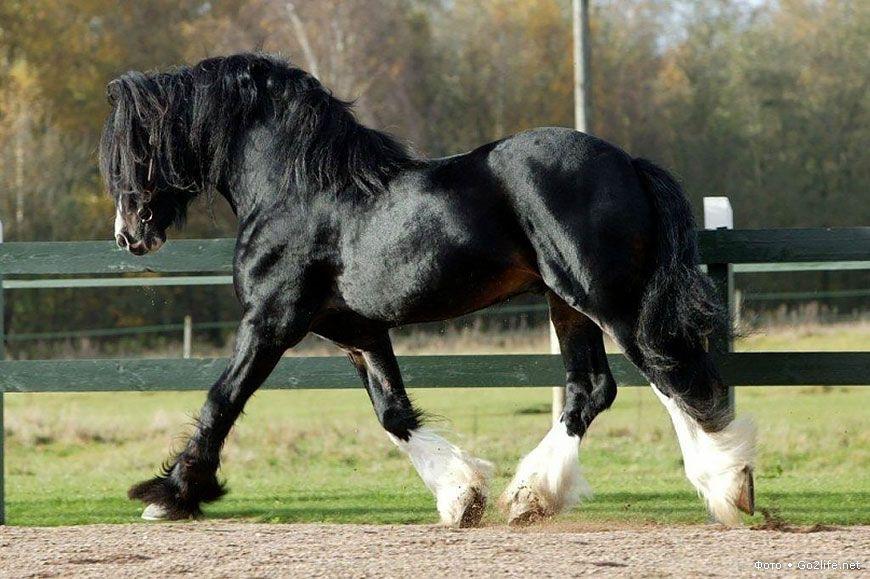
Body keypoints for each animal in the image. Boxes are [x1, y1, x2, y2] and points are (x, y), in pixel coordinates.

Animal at [100, 52, 756, 527]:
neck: (296, 190)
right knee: (590, 390)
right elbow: (392, 412)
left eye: (137, 149)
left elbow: (222, 400)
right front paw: (461, 496)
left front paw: (169, 494)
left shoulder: (271, 321)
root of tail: (629, 163)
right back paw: (530, 496)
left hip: (606, 299)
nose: (130, 234)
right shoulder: (356, 330)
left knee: (673, 375)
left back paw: (729, 488)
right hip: (565, 304)